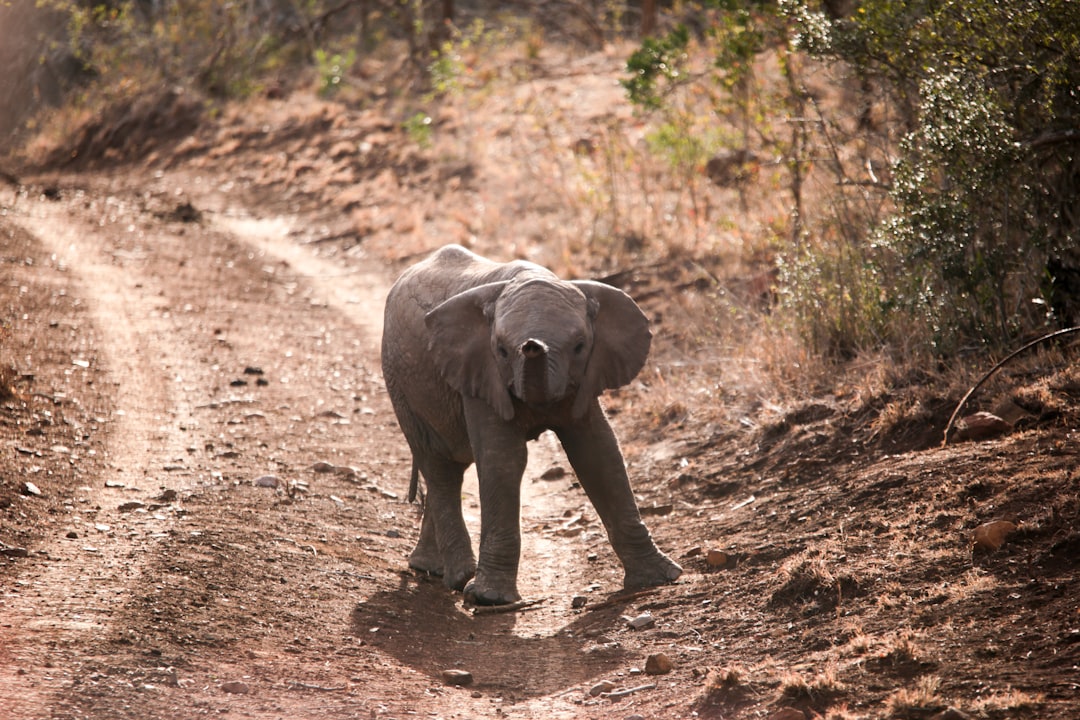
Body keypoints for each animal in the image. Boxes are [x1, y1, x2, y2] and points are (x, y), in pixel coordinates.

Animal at [382, 245, 682, 604]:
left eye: (579, 346)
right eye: (501, 350)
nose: (532, 345)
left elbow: (598, 452)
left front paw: (660, 578)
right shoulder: (482, 373)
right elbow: (504, 459)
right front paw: (489, 599)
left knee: (449, 468)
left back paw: (432, 569)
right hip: (401, 385)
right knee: (439, 468)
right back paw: (458, 577)